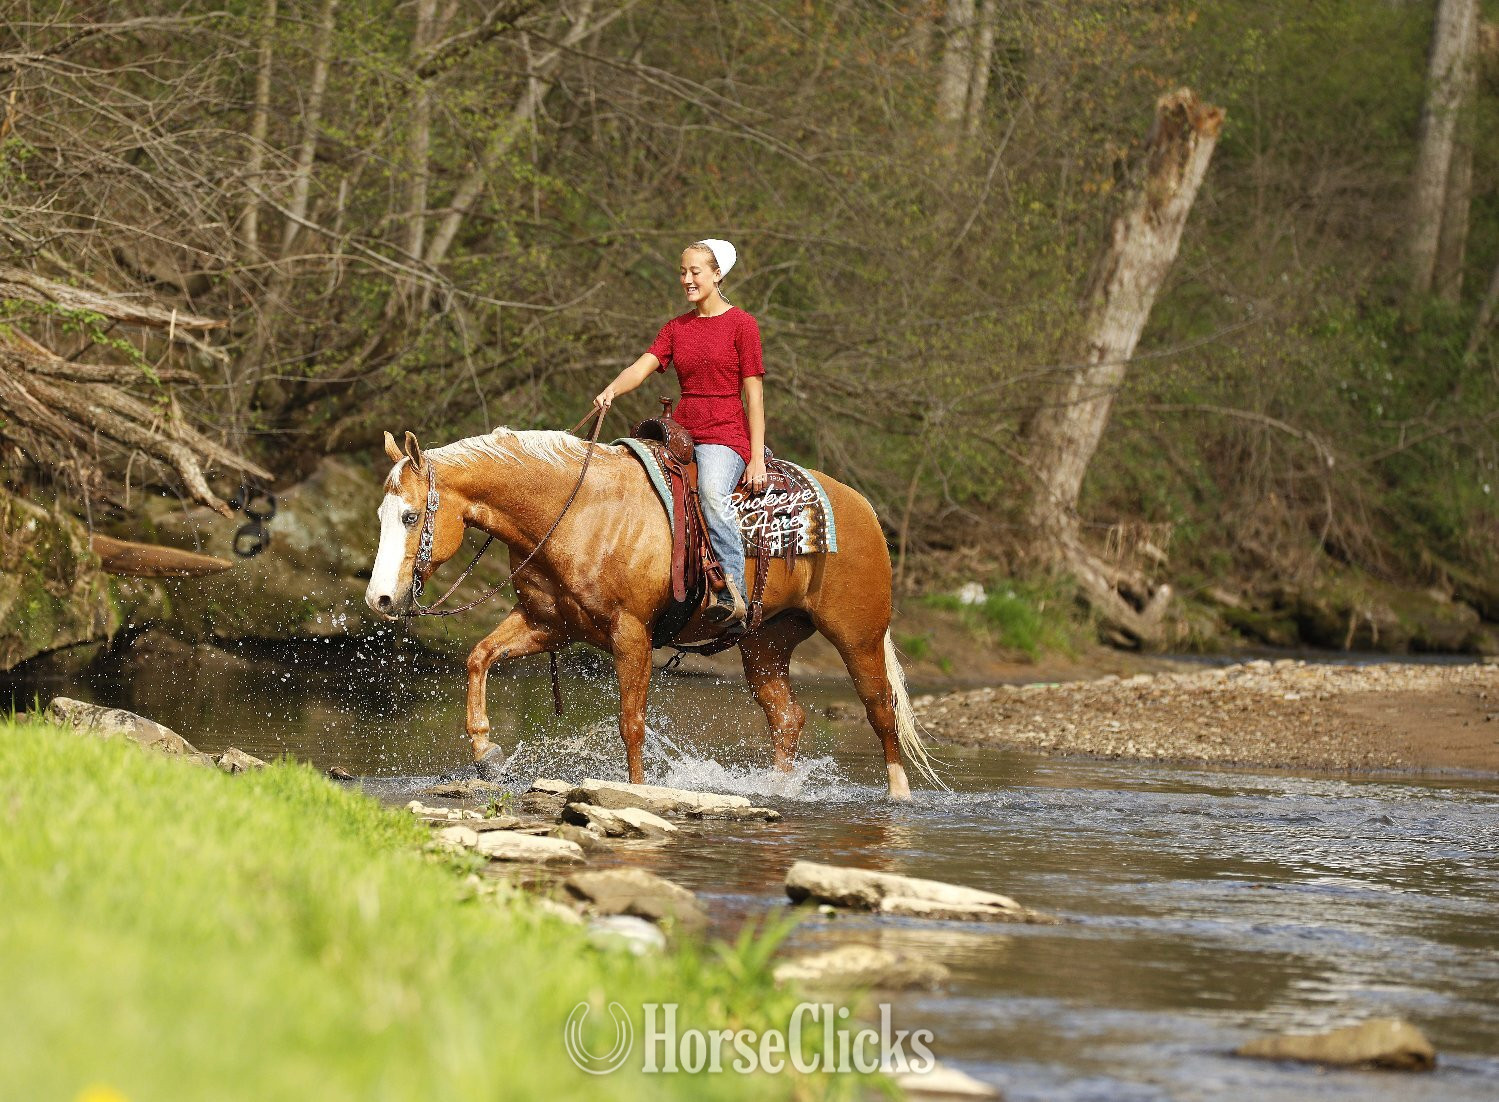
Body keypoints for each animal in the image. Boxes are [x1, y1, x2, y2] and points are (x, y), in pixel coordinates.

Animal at [363, 426, 938, 800]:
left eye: (410, 516)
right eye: (382, 515)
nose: (379, 600)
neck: (576, 511)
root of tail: (861, 507)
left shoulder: (631, 632)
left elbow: (631, 721)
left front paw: (637, 791)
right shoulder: (549, 626)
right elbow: (479, 656)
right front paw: (486, 752)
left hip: (858, 637)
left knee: (880, 709)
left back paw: (899, 795)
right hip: (766, 643)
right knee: (787, 717)